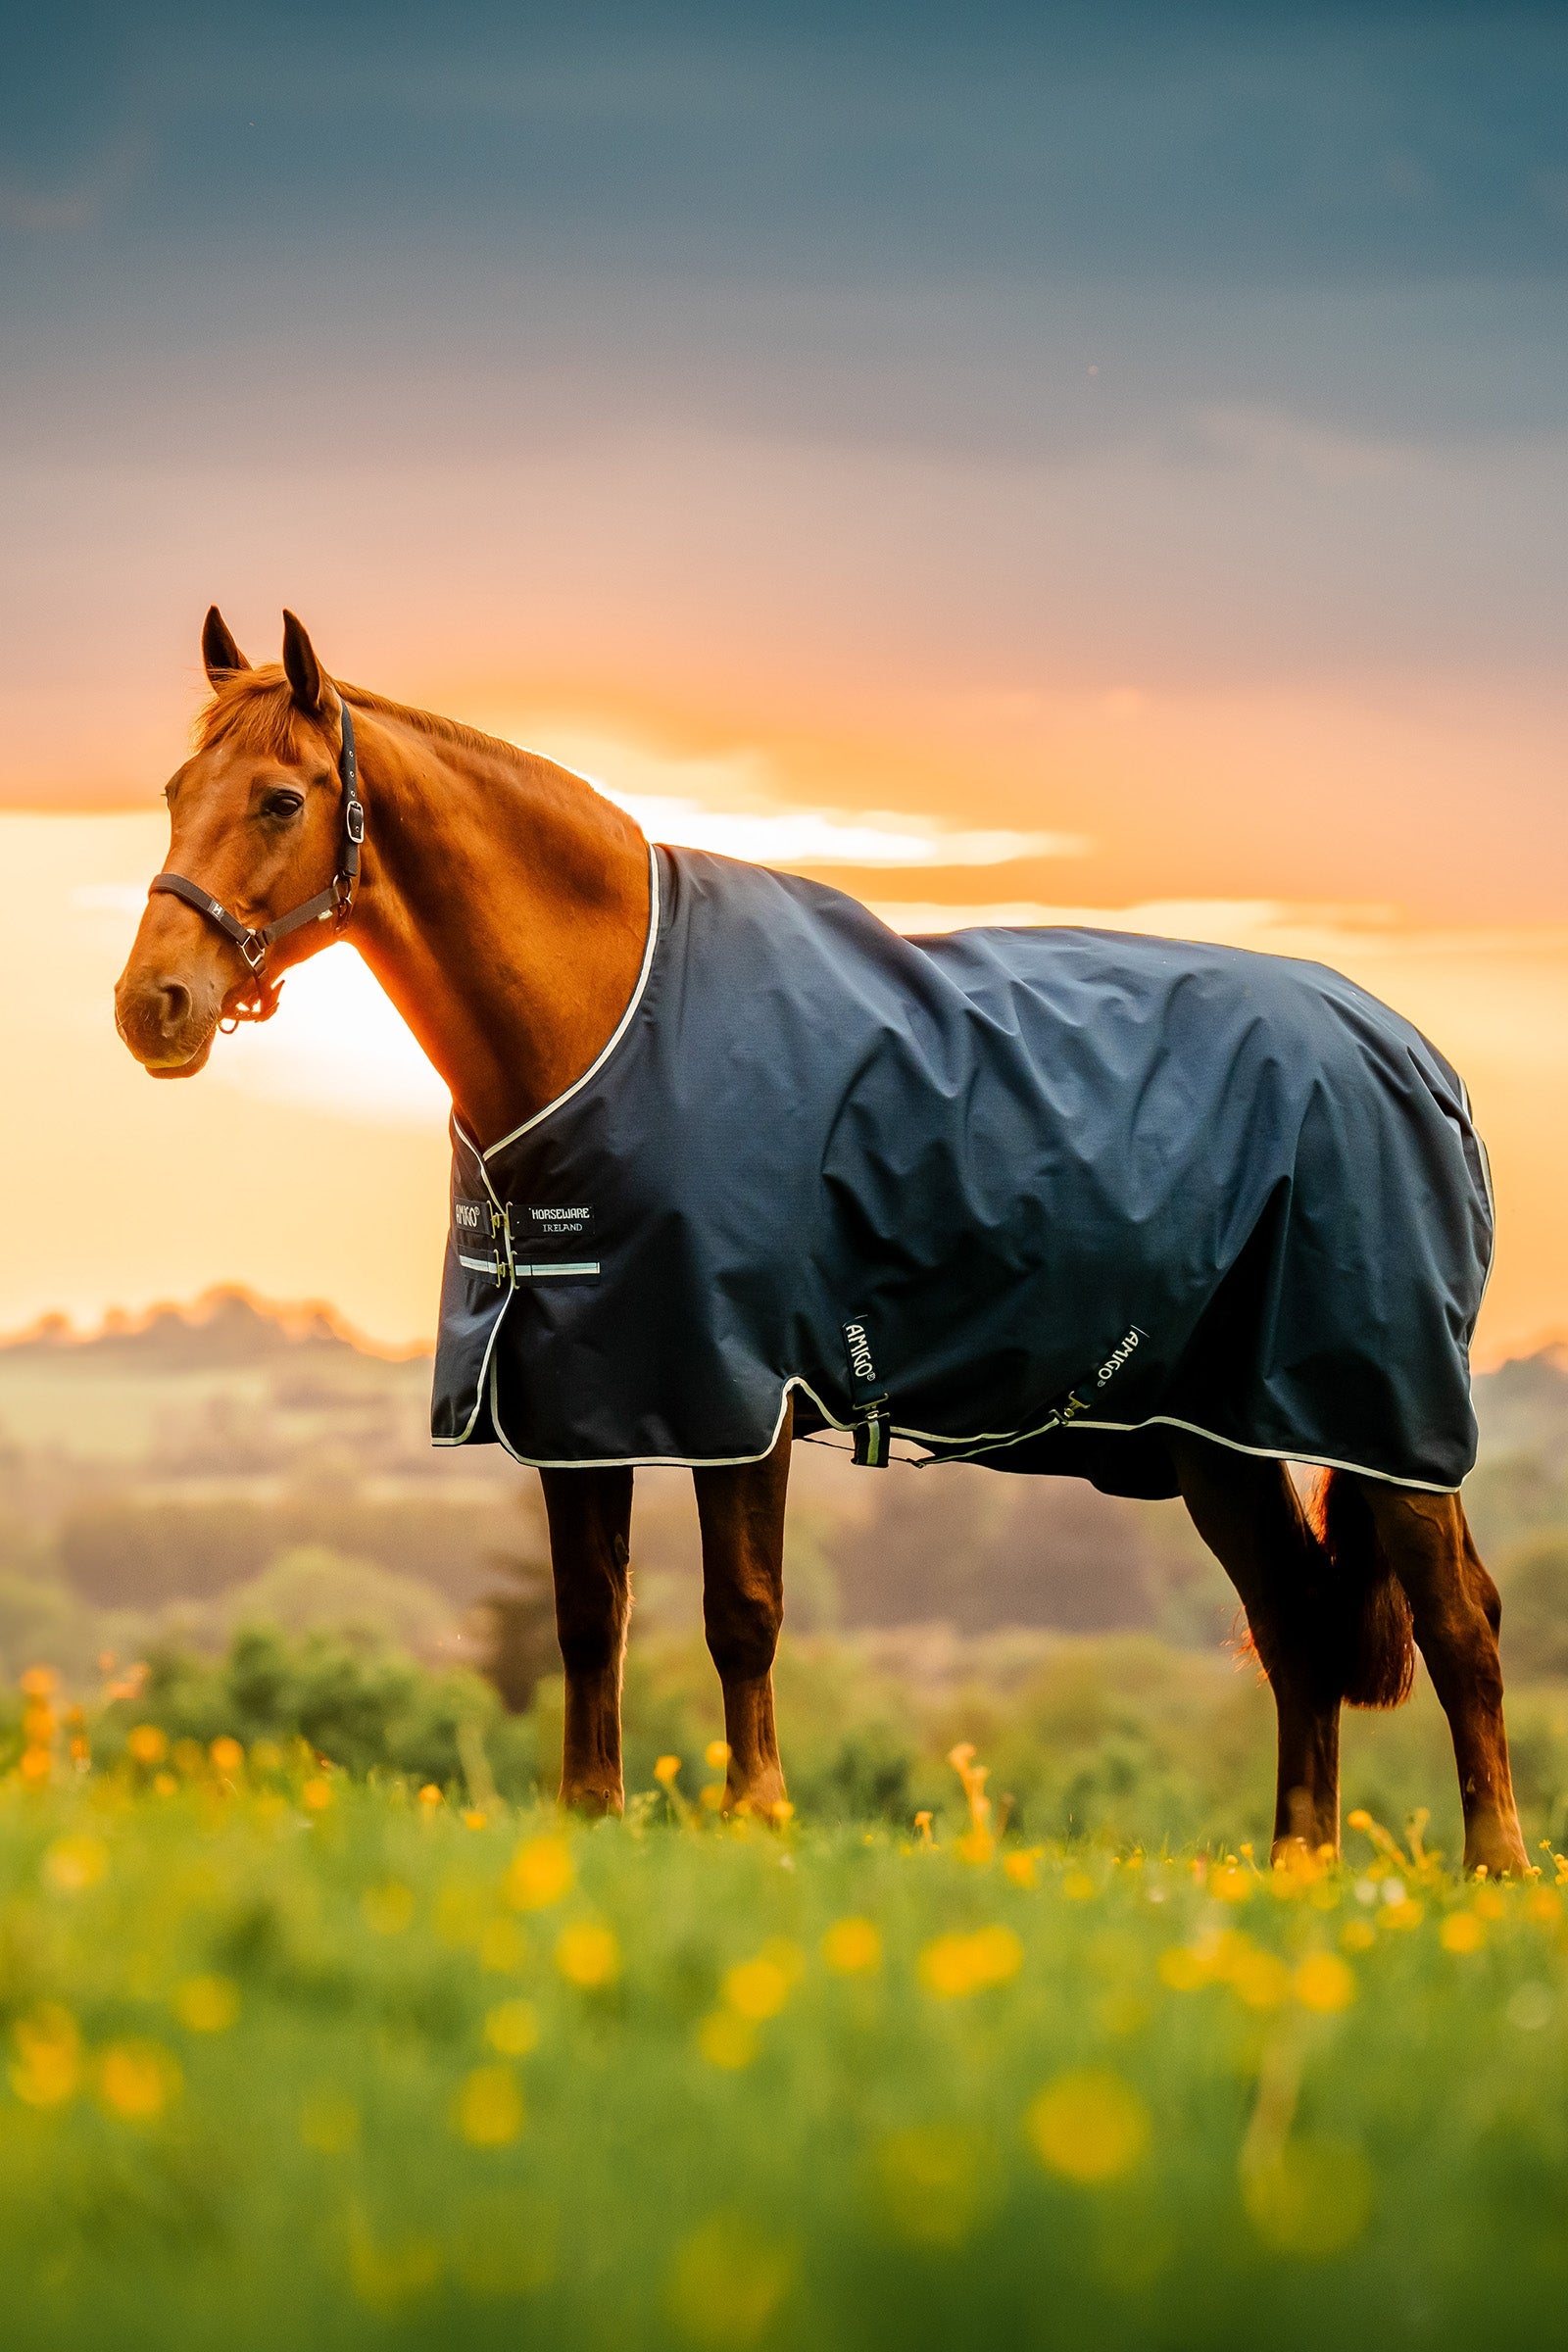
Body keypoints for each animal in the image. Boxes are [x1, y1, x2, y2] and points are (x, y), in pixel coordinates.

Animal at [114, 608, 1529, 1877]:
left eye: (282, 799)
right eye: (177, 788)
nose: (151, 1006)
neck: (610, 1021)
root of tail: (1419, 1061)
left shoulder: (737, 1390)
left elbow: (742, 1615)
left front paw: (759, 1818)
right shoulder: (581, 1396)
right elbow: (589, 1620)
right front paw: (592, 1816)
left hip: (1387, 1417)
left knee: (1460, 1623)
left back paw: (1496, 1873)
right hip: (1214, 1436)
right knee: (1295, 1625)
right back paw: (1299, 1872)